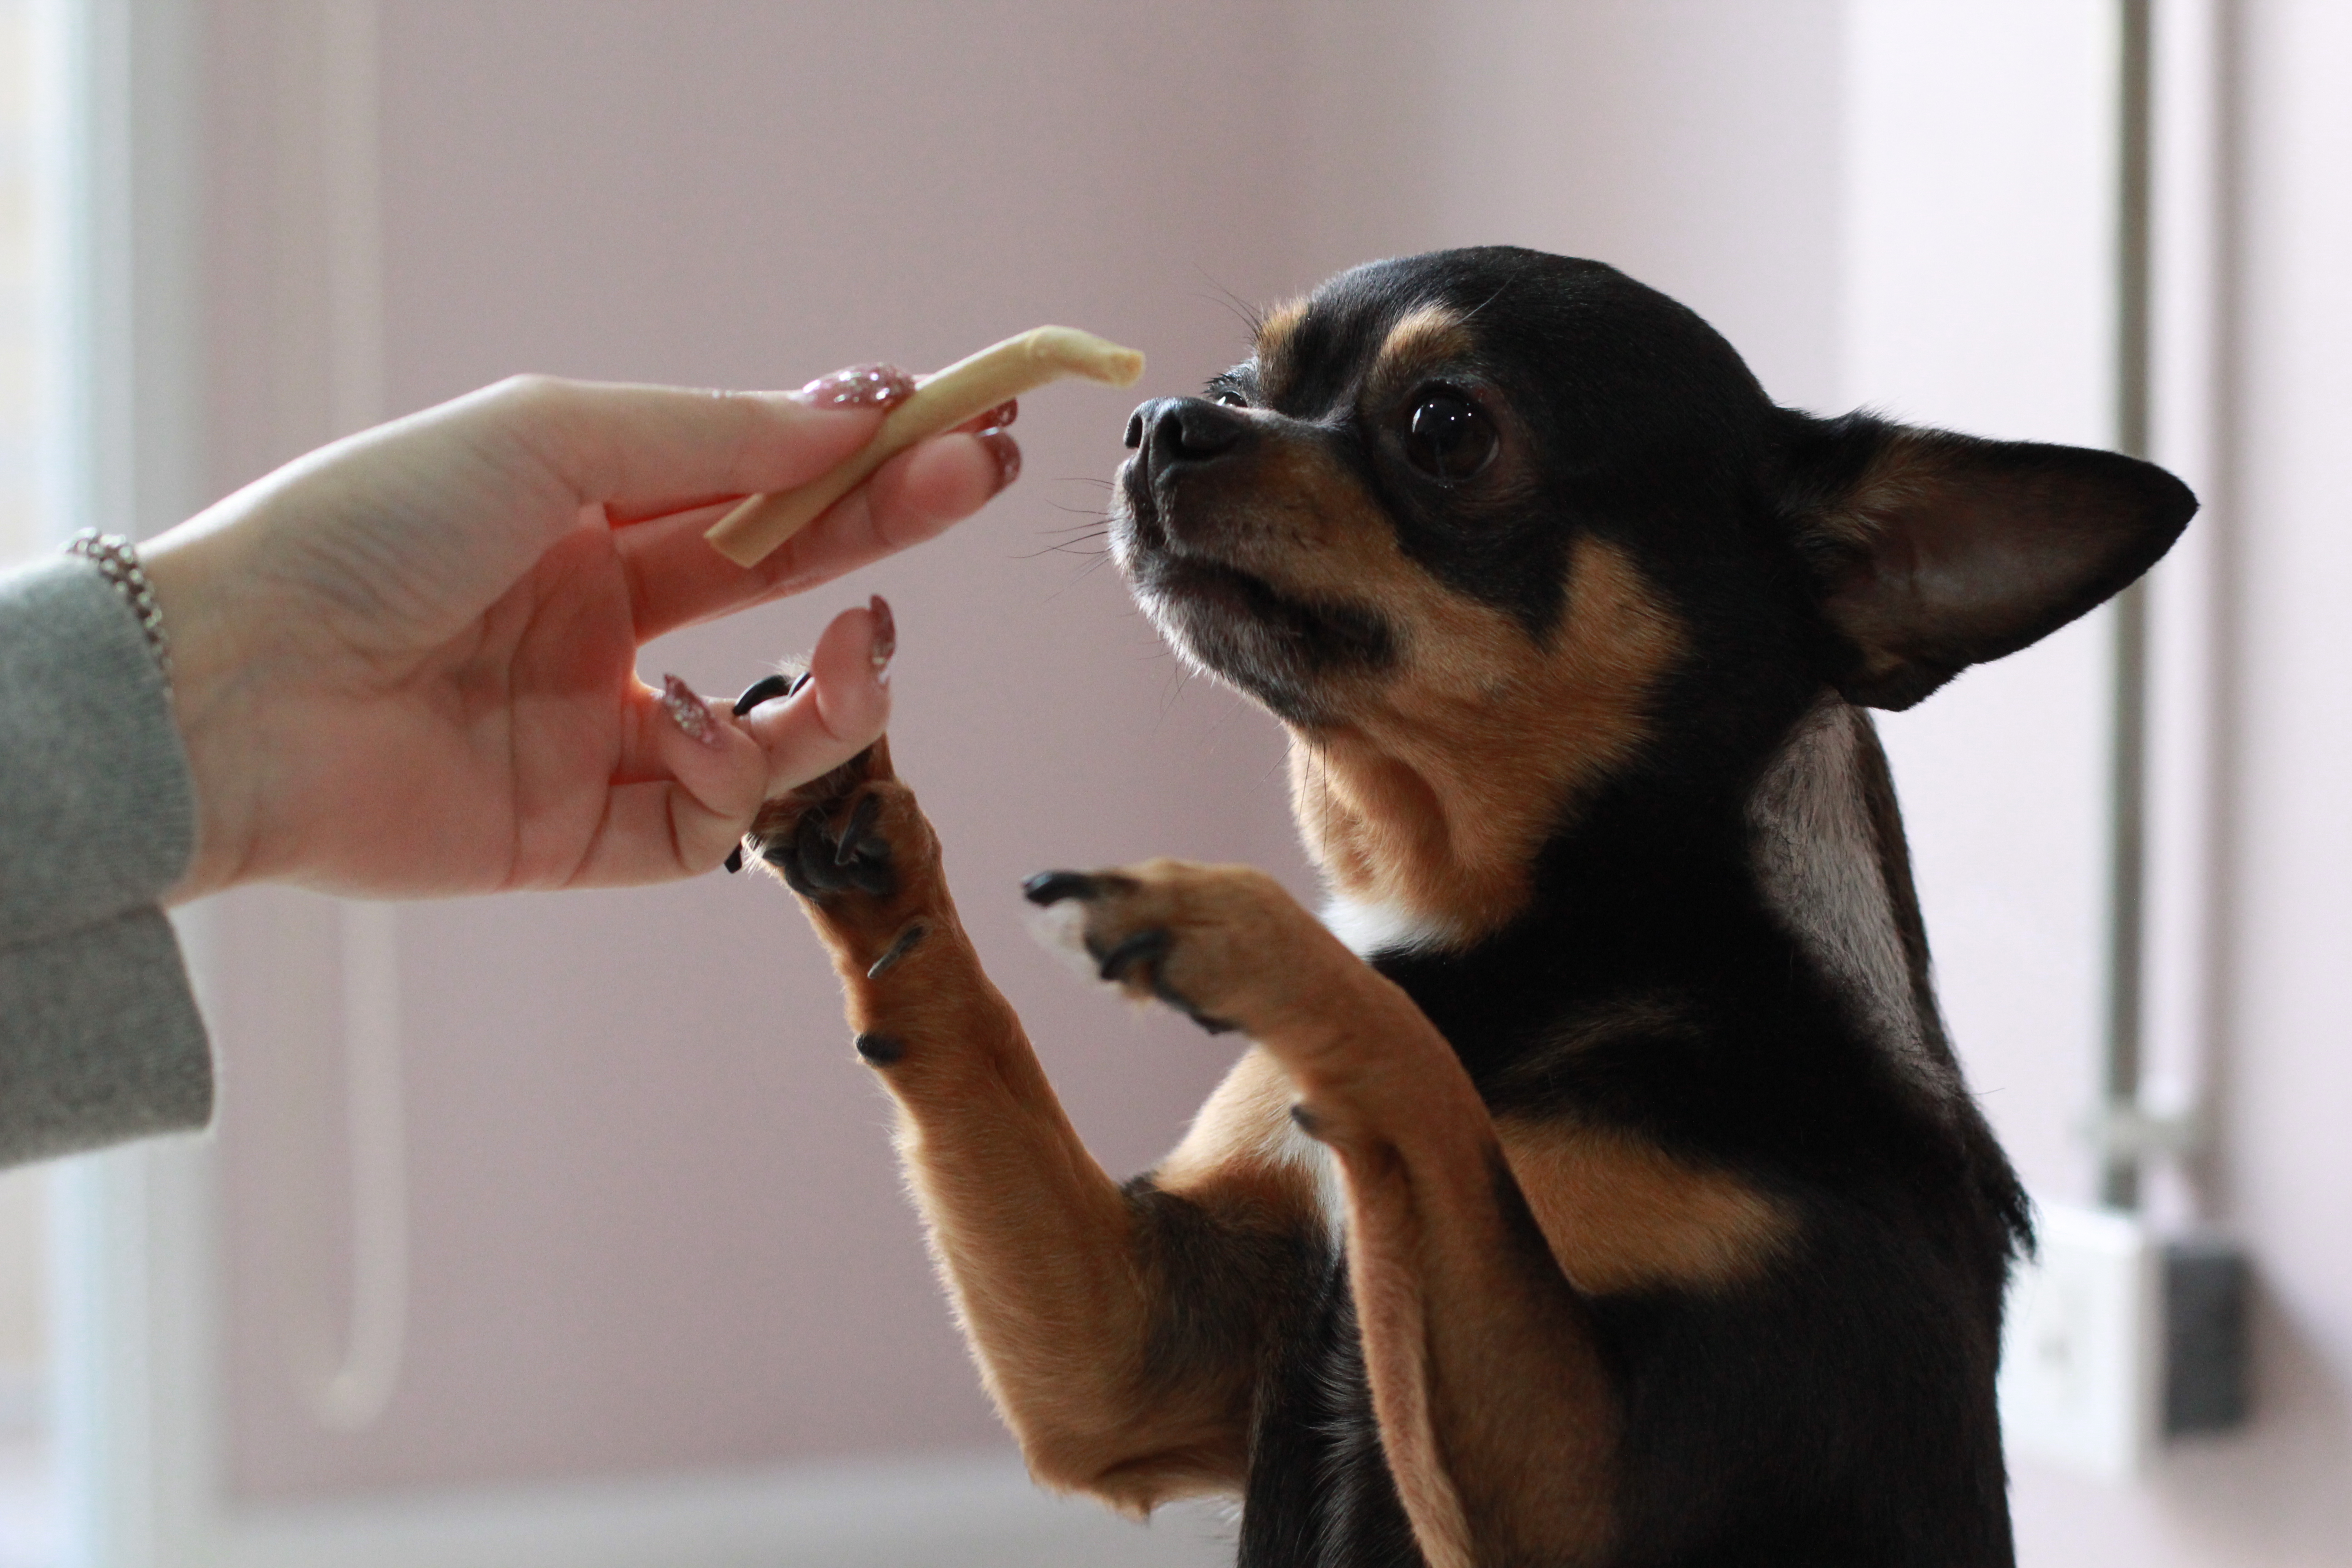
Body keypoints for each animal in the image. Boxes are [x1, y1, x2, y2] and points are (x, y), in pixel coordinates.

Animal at [743, 251, 2192, 1561]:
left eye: (1448, 428)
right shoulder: (1139, 1361)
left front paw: (1247, 928)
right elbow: (977, 1036)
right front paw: (848, 796)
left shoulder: (1590, 1497)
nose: (1164, 419)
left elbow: (1421, 1076)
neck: (1526, 932)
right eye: (1239, 387)